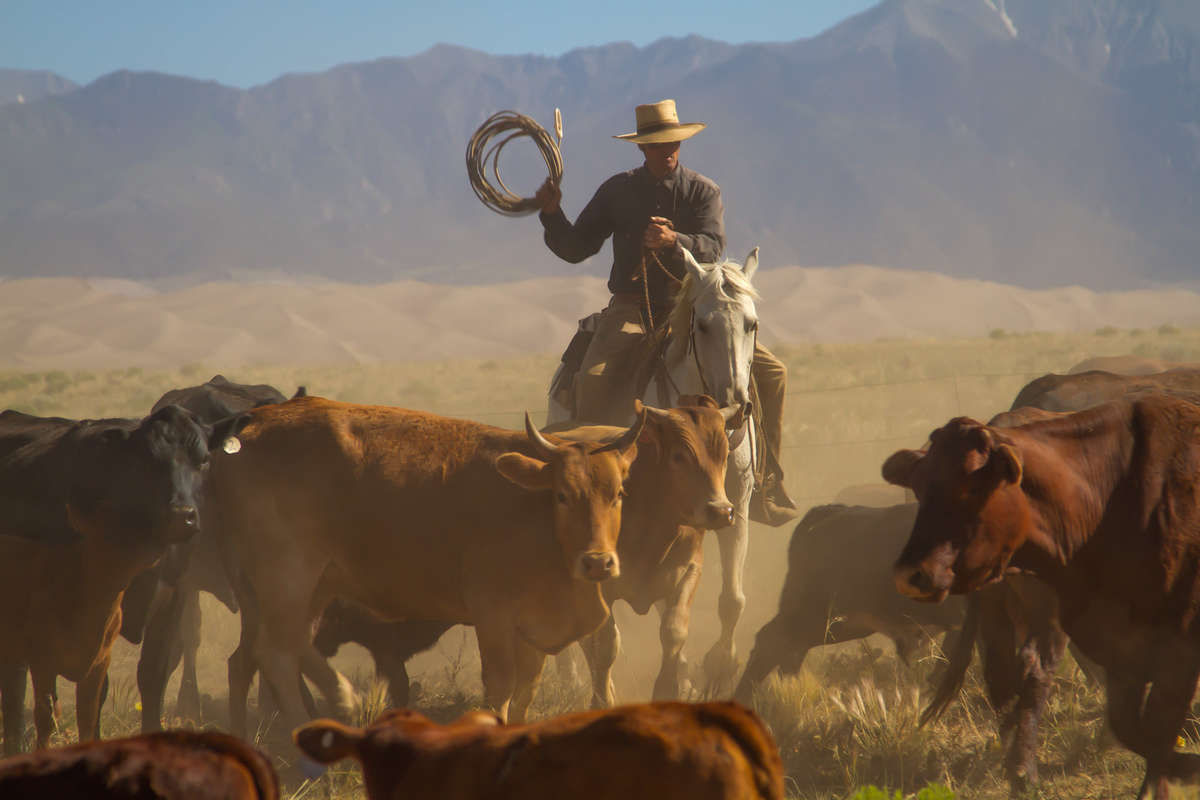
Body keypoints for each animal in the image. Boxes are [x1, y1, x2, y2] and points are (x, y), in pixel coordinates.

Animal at [209, 394, 645, 751]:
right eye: (562, 495)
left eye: (619, 493)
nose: (598, 562)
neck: (535, 515)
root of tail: (254, 423)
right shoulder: (492, 614)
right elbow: (501, 685)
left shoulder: (534, 629)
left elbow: (527, 689)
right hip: (288, 576)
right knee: (277, 652)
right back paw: (331, 711)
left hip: (297, 586)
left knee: (253, 656)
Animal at [884, 394, 1200, 799]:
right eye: (920, 487)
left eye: (971, 489)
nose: (910, 574)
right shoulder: (1124, 651)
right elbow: (1135, 729)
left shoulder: (1177, 652)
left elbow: (1155, 731)